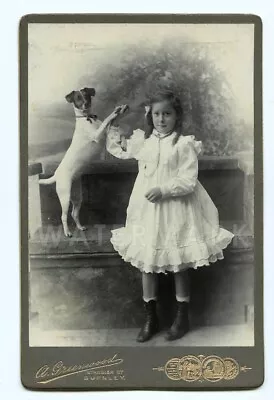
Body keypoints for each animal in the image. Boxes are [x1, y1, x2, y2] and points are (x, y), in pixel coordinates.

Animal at [38, 87, 128, 238]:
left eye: (86, 95)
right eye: (78, 98)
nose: (86, 104)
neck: (88, 119)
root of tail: (56, 175)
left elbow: (114, 127)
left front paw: (120, 110)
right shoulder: (97, 135)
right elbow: (107, 120)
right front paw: (114, 113)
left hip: (77, 196)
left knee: (74, 214)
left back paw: (80, 228)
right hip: (65, 196)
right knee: (63, 216)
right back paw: (67, 233)